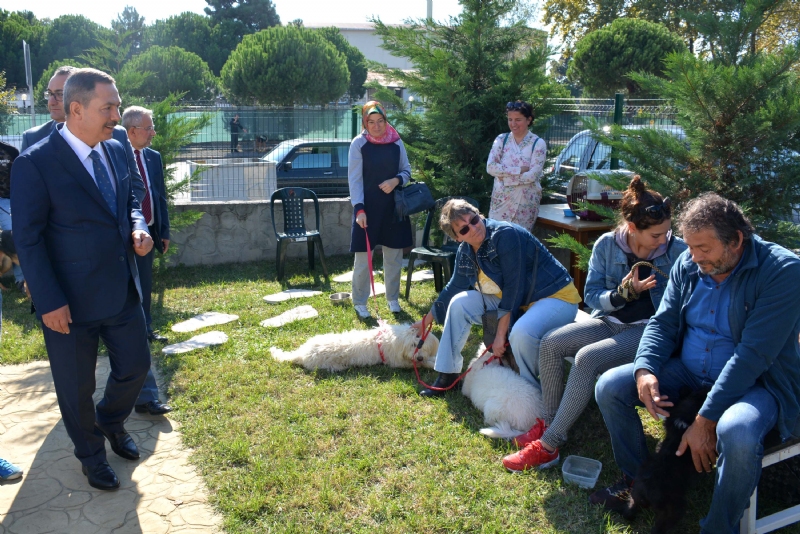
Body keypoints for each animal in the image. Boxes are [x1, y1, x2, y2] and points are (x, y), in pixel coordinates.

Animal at [272, 326, 440, 372]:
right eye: (413, 345)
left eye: (422, 345)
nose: (420, 357)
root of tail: (301, 353)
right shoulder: (398, 362)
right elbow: (421, 364)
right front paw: (430, 363)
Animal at [624, 388, 712, 532]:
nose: (707, 387)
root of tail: (646, 491)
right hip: (672, 510)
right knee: (660, 528)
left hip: (634, 495)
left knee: (630, 509)